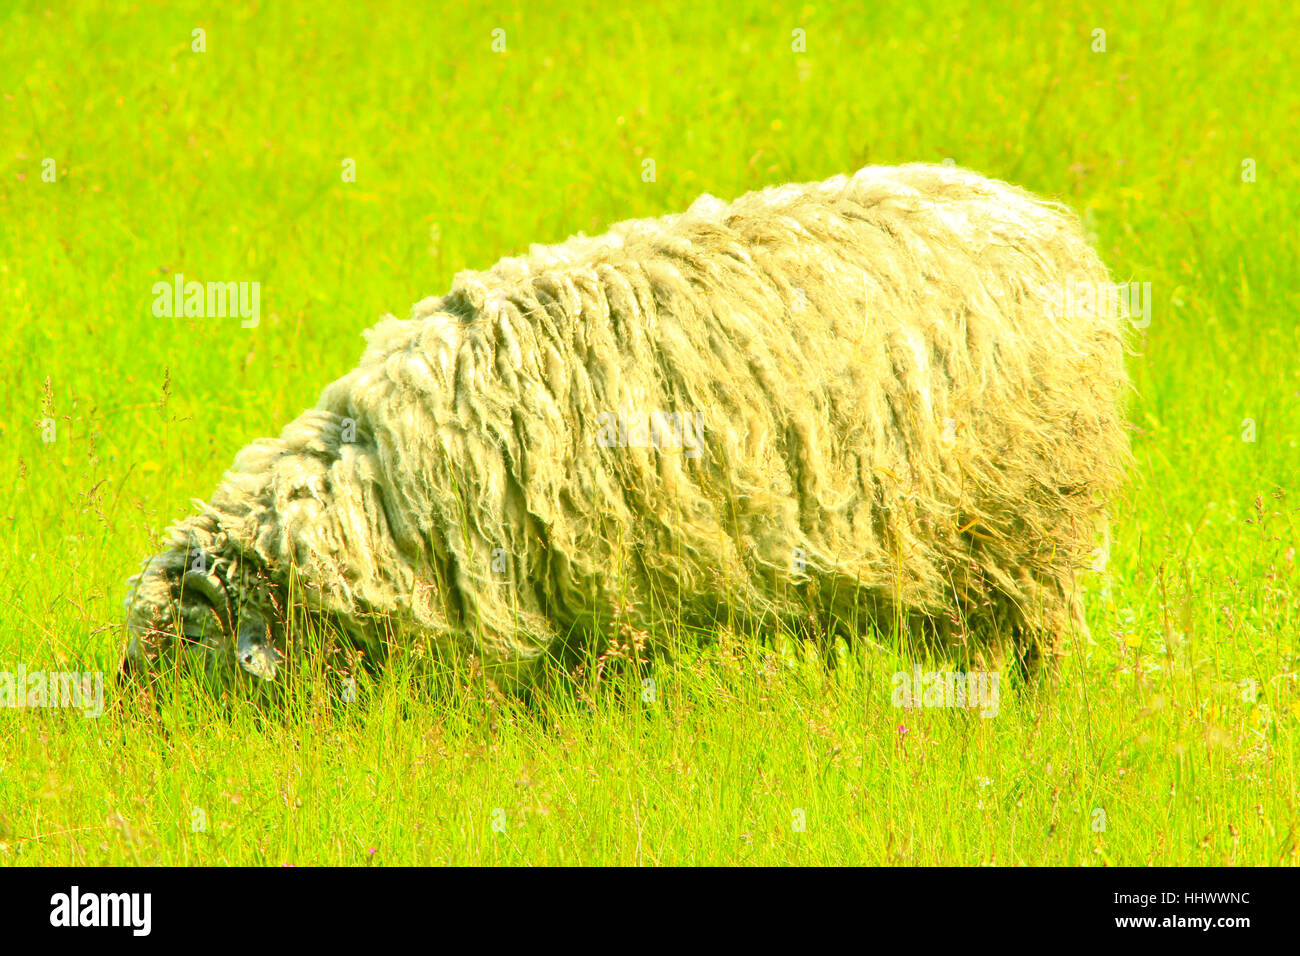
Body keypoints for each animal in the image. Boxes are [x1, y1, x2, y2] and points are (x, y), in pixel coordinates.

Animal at [121, 163, 1130, 695]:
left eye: (186, 652)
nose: (132, 726)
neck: (377, 496)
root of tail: (1037, 220)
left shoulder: (598, 576)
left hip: (1027, 529)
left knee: (1038, 642)